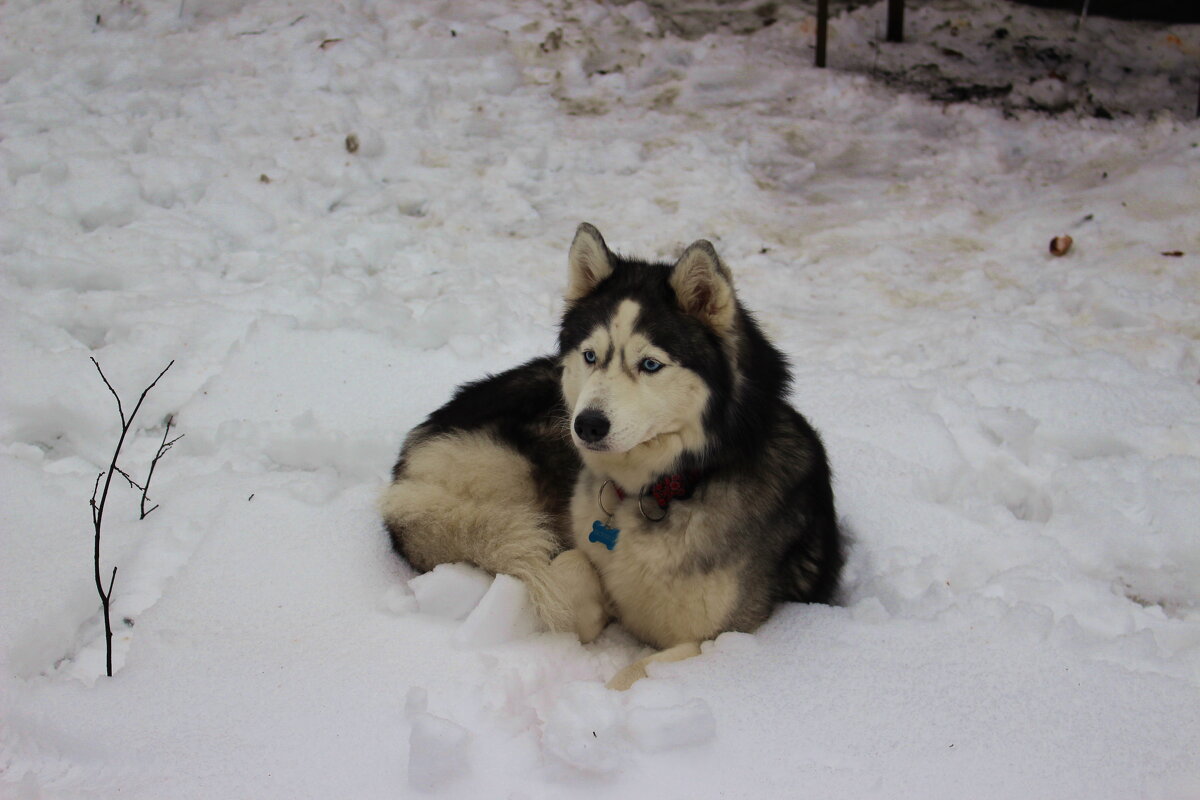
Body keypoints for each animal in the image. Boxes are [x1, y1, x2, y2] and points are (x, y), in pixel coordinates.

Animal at [379, 224, 840, 690]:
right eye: (590, 356)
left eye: (650, 364)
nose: (587, 426)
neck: (665, 487)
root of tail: (417, 448)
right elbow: (566, 565)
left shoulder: (720, 639)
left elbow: (636, 673)